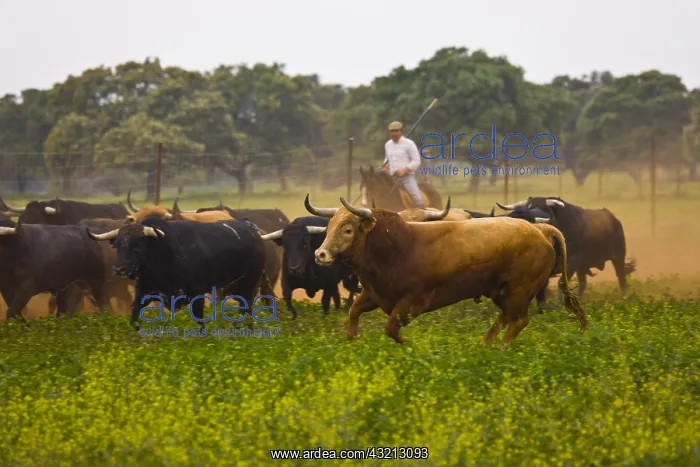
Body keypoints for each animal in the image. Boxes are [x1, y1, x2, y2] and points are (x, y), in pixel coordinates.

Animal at [85, 217, 274, 330]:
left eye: (137, 246)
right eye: (117, 245)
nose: (119, 269)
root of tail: (252, 229)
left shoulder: (196, 294)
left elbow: (200, 321)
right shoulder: (143, 293)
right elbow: (134, 318)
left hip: (248, 286)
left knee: (246, 311)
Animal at [304, 194, 587, 345]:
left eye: (348, 229)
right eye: (330, 225)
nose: (320, 254)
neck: (400, 247)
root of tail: (540, 230)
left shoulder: (412, 302)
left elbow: (391, 328)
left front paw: (412, 344)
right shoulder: (374, 294)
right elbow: (353, 313)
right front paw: (354, 340)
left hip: (519, 289)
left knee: (518, 320)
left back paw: (498, 347)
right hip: (502, 292)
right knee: (508, 318)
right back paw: (485, 343)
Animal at [496, 197, 637, 297]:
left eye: (544, 207)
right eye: (528, 206)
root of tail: (614, 220)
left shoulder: (573, 261)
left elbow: (561, 283)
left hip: (618, 257)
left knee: (621, 278)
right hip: (583, 267)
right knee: (583, 284)